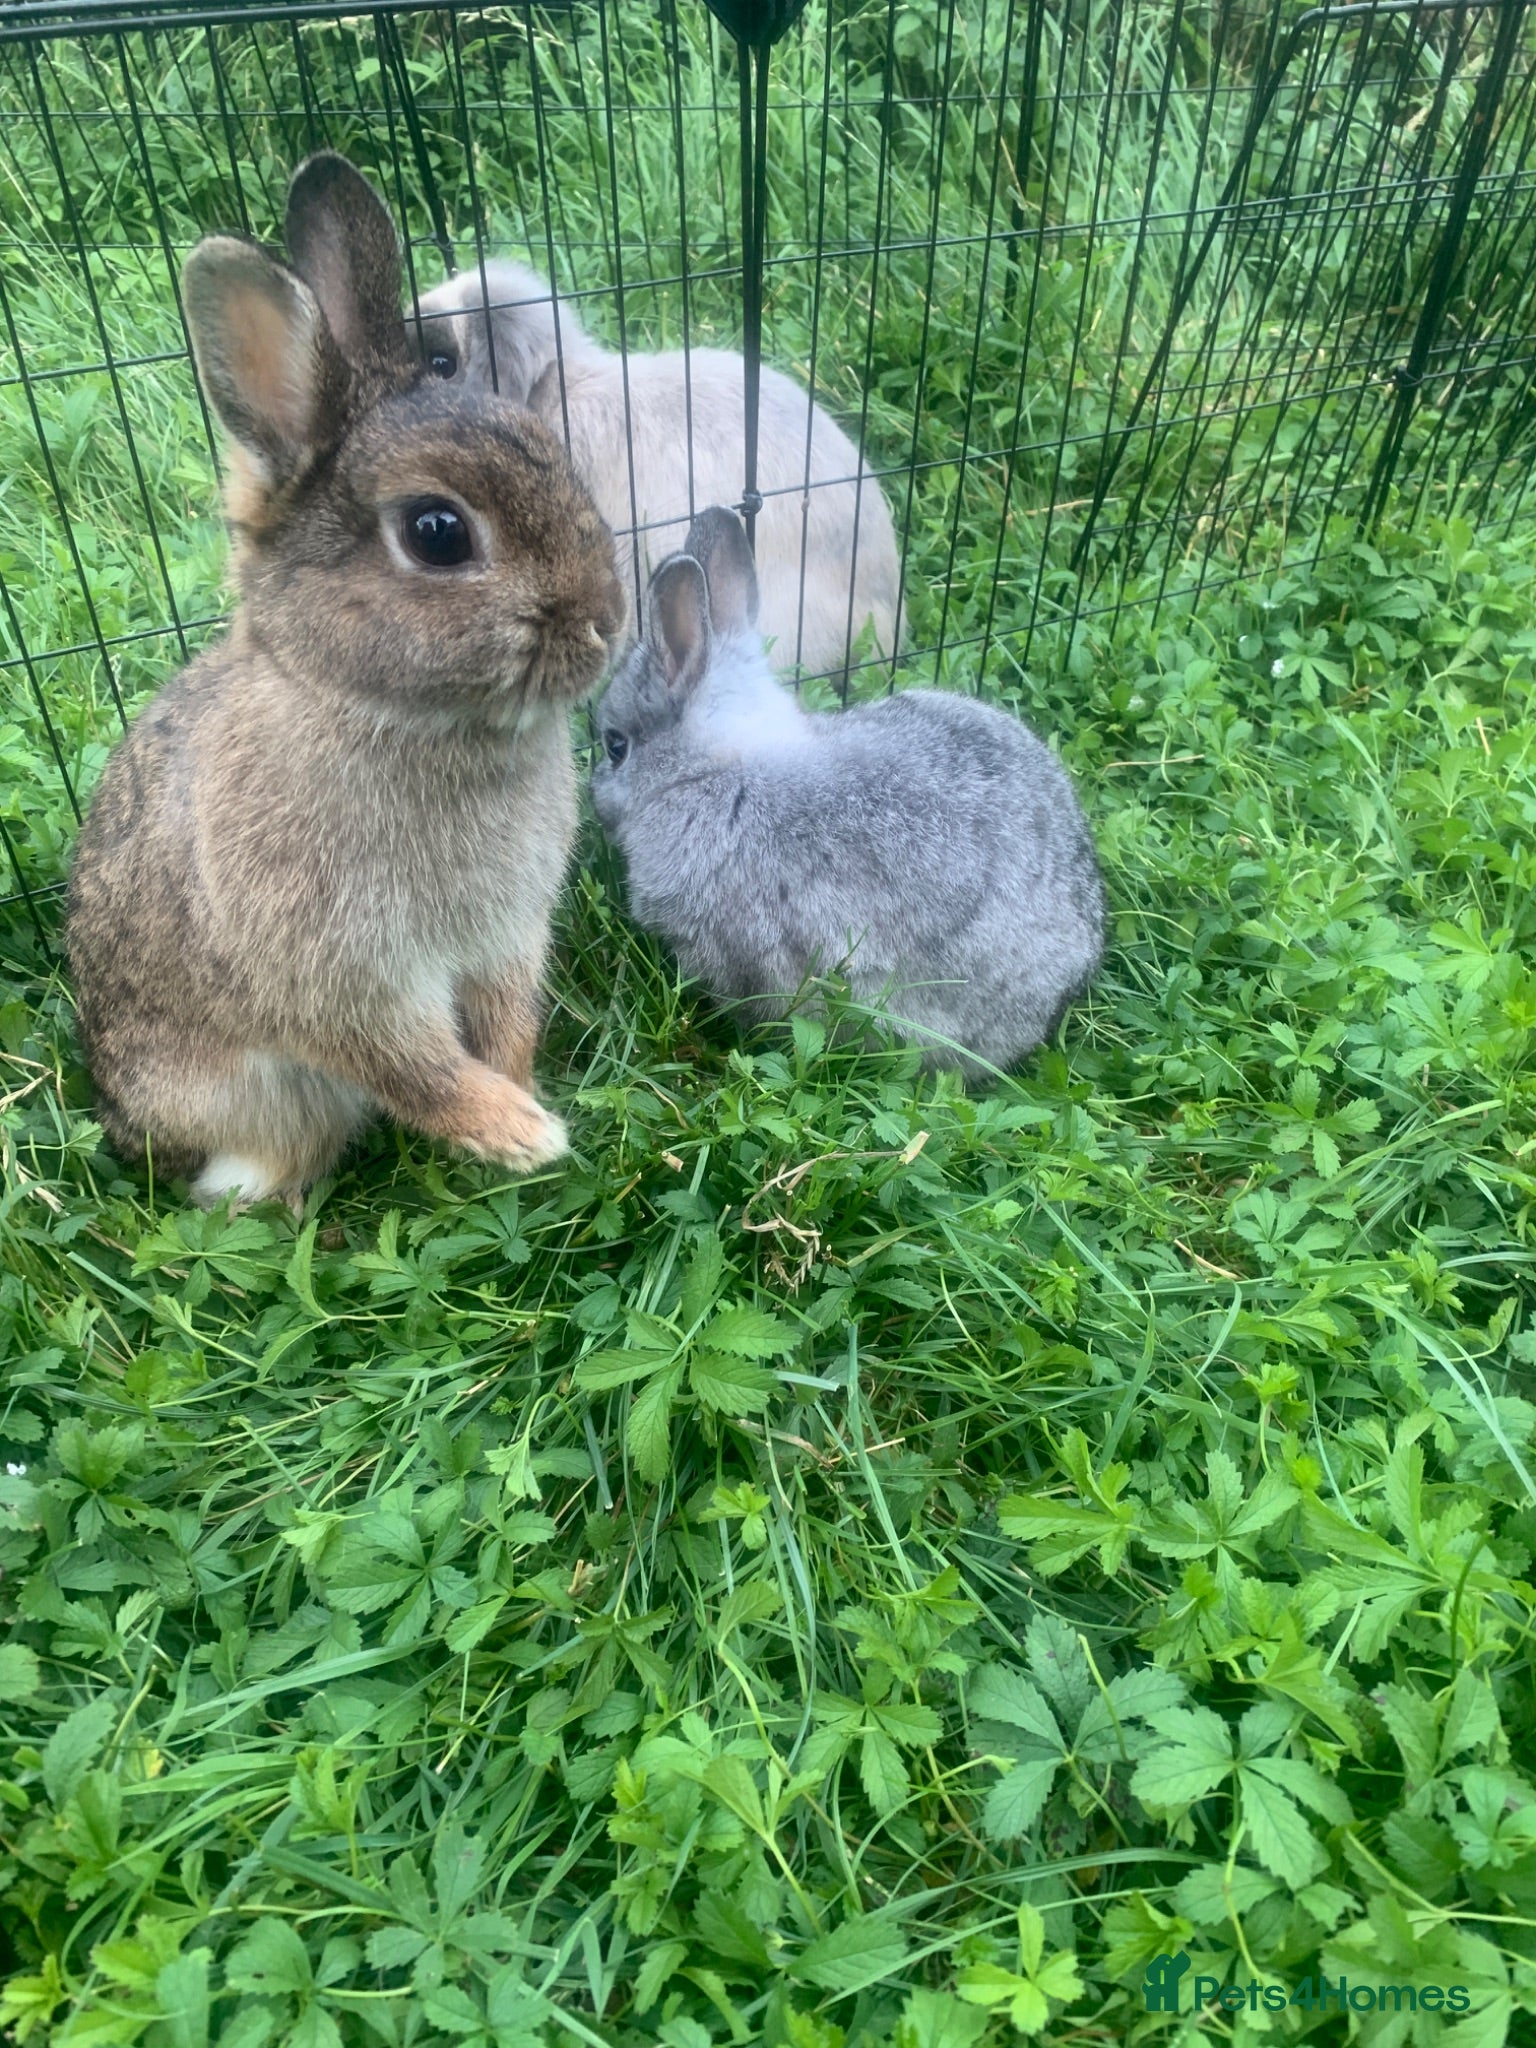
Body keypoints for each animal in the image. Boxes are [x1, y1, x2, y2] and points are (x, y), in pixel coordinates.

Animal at [66, 153, 626, 1212]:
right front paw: (520, 1134)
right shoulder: (336, 976)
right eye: (438, 533)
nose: (606, 623)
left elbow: (504, 1017)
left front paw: (522, 1094)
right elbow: (411, 1063)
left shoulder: (506, 937)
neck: (387, 715)